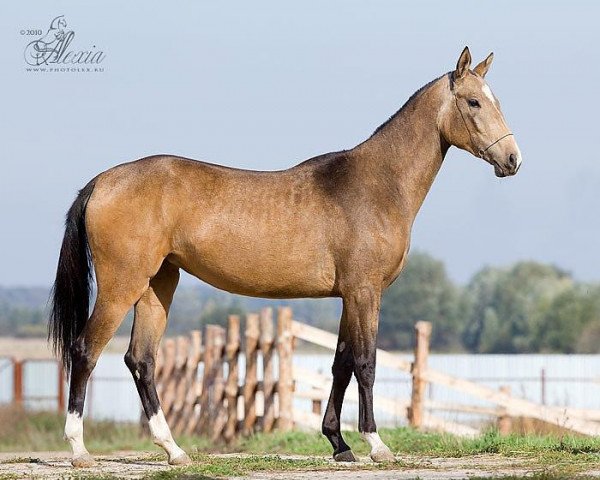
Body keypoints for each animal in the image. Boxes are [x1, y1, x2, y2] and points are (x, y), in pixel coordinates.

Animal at [49, 47, 520, 466]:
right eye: (474, 101)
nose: (513, 159)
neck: (376, 183)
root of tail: (103, 180)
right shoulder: (365, 292)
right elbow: (365, 363)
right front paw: (376, 444)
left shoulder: (349, 296)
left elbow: (340, 364)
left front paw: (339, 444)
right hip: (121, 286)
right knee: (85, 351)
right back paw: (79, 451)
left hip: (156, 286)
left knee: (141, 361)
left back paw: (174, 451)